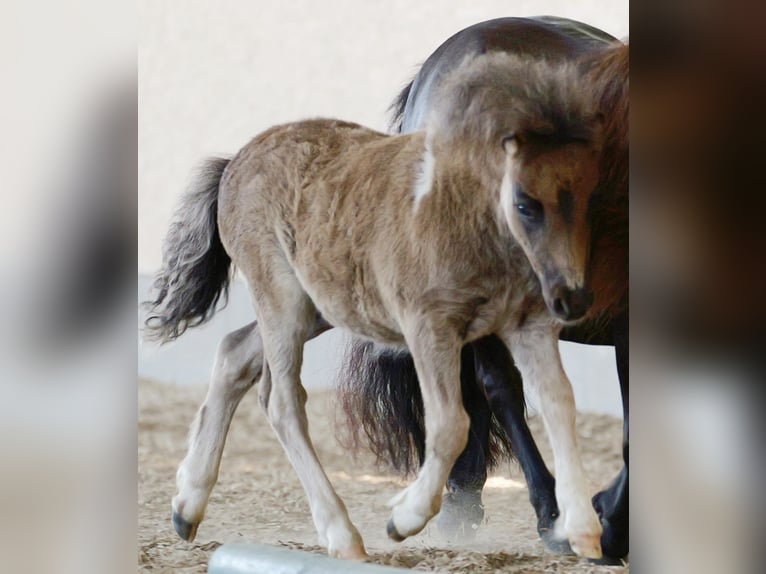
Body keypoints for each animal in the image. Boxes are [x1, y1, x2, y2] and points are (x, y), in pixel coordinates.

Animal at [145, 52, 606, 559]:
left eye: (588, 199)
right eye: (525, 204)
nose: (572, 297)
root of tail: (233, 163)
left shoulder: (528, 325)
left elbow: (559, 403)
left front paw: (583, 529)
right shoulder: (430, 326)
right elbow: (450, 424)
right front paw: (404, 518)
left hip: (319, 306)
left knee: (233, 352)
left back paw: (186, 506)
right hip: (281, 298)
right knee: (282, 401)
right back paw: (341, 535)